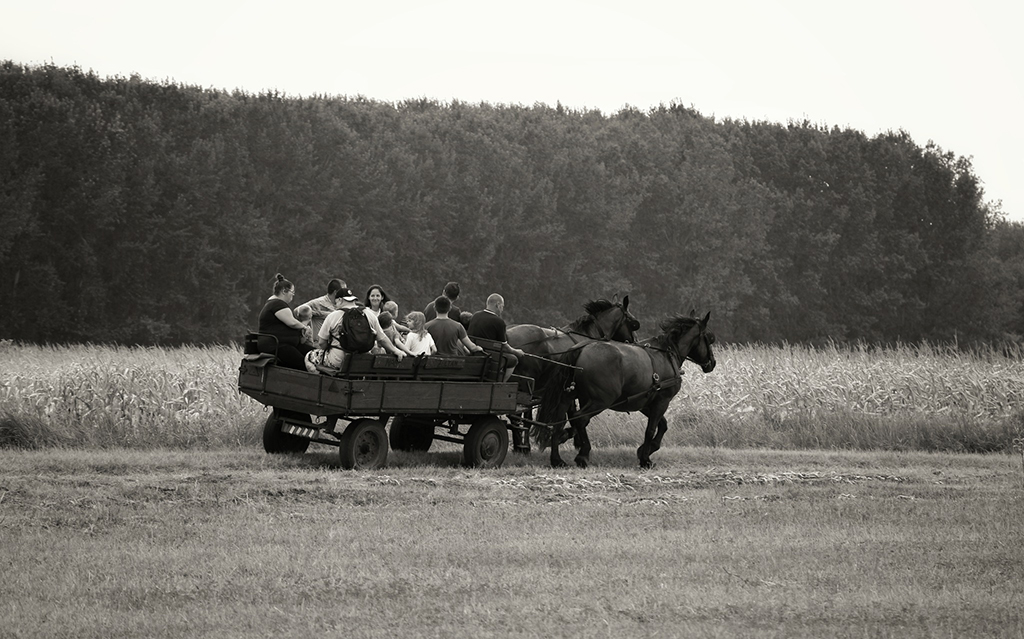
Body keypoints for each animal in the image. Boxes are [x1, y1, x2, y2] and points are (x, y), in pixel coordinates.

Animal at [540, 311, 716, 466]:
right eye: (709, 338)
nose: (712, 363)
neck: (667, 354)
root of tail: (581, 348)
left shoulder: (645, 402)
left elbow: (663, 425)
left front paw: (646, 449)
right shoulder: (662, 401)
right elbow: (651, 429)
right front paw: (645, 459)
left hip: (569, 396)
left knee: (558, 423)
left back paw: (557, 459)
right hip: (601, 400)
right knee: (580, 419)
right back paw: (583, 455)